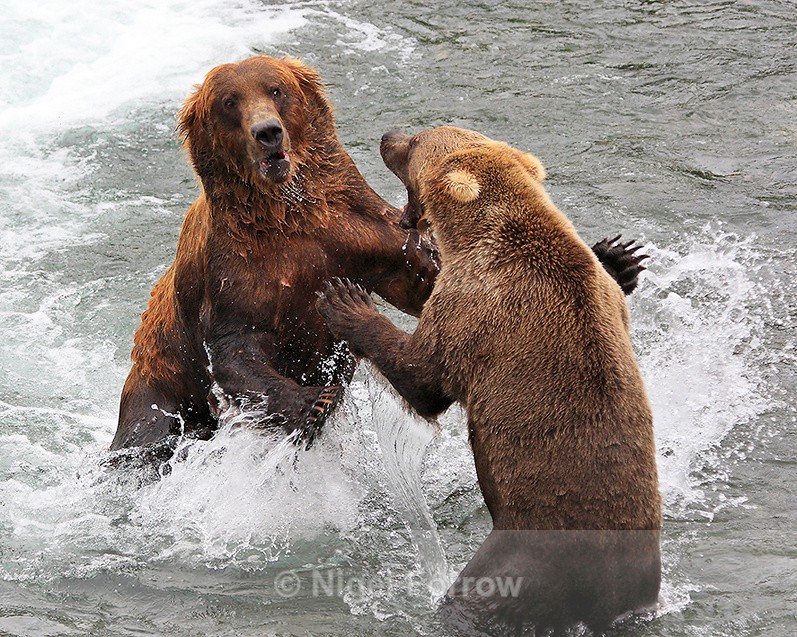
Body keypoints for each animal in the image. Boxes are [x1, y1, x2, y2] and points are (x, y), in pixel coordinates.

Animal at [315, 126, 661, 633]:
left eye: (415, 142)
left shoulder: (475, 306)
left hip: (525, 553)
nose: (387, 135)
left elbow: (423, 375)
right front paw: (619, 255)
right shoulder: (600, 298)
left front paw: (346, 300)